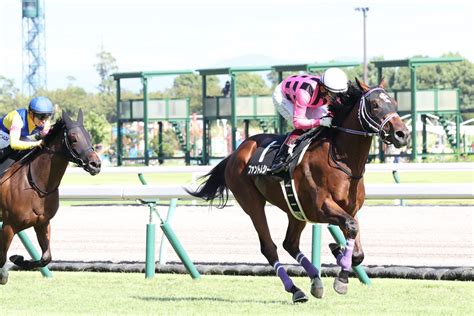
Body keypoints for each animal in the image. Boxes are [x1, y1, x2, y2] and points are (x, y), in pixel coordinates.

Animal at [0, 109, 101, 284]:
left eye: (89, 135)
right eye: (73, 138)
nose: (96, 164)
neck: (35, 183)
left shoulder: (42, 222)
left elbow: (46, 257)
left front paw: (19, 259)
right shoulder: (9, 225)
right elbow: (1, 257)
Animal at [187, 78, 410, 302]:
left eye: (395, 103)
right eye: (375, 105)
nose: (403, 134)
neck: (340, 159)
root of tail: (235, 152)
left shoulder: (350, 210)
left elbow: (357, 249)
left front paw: (338, 254)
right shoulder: (321, 208)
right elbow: (351, 228)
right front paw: (341, 277)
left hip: (295, 209)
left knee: (290, 243)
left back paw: (316, 281)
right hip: (253, 204)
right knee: (269, 247)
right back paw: (296, 290)